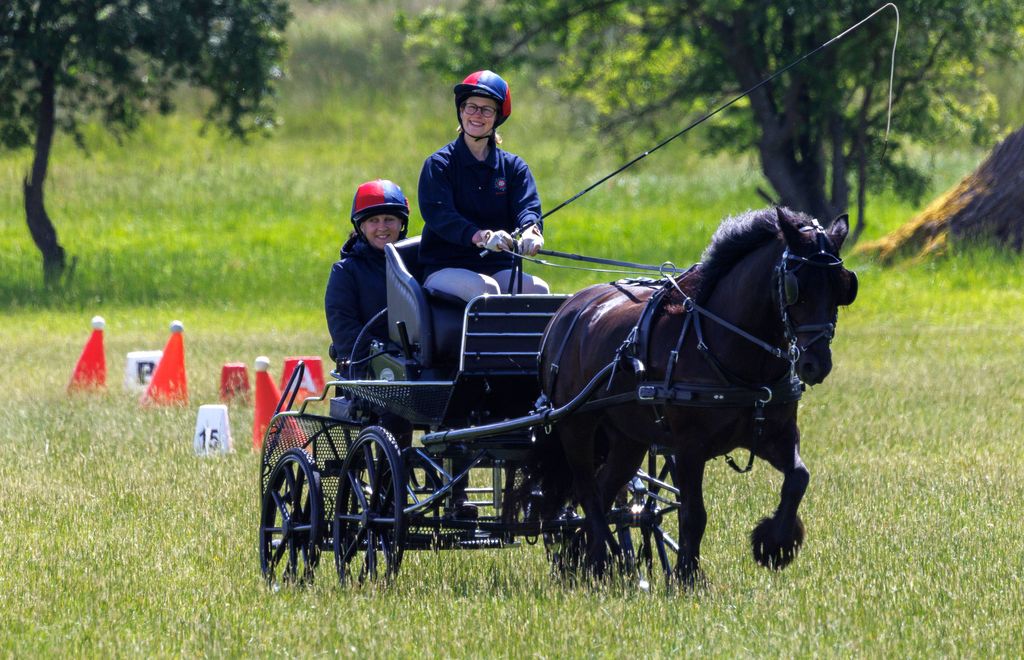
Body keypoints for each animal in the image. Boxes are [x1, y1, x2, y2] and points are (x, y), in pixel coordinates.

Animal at [532, 205, 860, 581]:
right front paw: (688, 576)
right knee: (587, 491)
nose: (815, 364)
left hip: (629, 438)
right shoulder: (689, 446)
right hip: (576, 425)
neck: (724, 345)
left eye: (842, 287)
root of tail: (566, 310)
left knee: (602, 490)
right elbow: (693, 513)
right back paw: (599, 559)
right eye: (797, 288)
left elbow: (798, 479)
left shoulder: (777, 434)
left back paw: (587, 561)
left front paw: (774, 545)